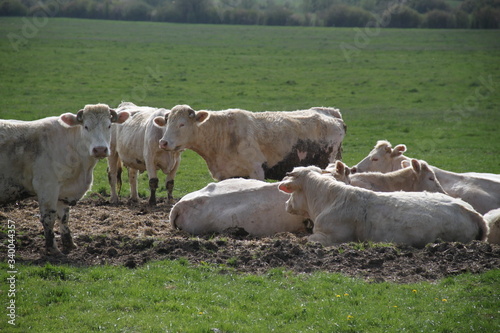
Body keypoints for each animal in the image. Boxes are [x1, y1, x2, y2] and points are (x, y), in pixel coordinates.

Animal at [154, 105, 346, 180]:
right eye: (166, 123)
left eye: (182, 124)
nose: (163, 143)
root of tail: (331, 113)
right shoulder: (225, 175)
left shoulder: (256, 171)